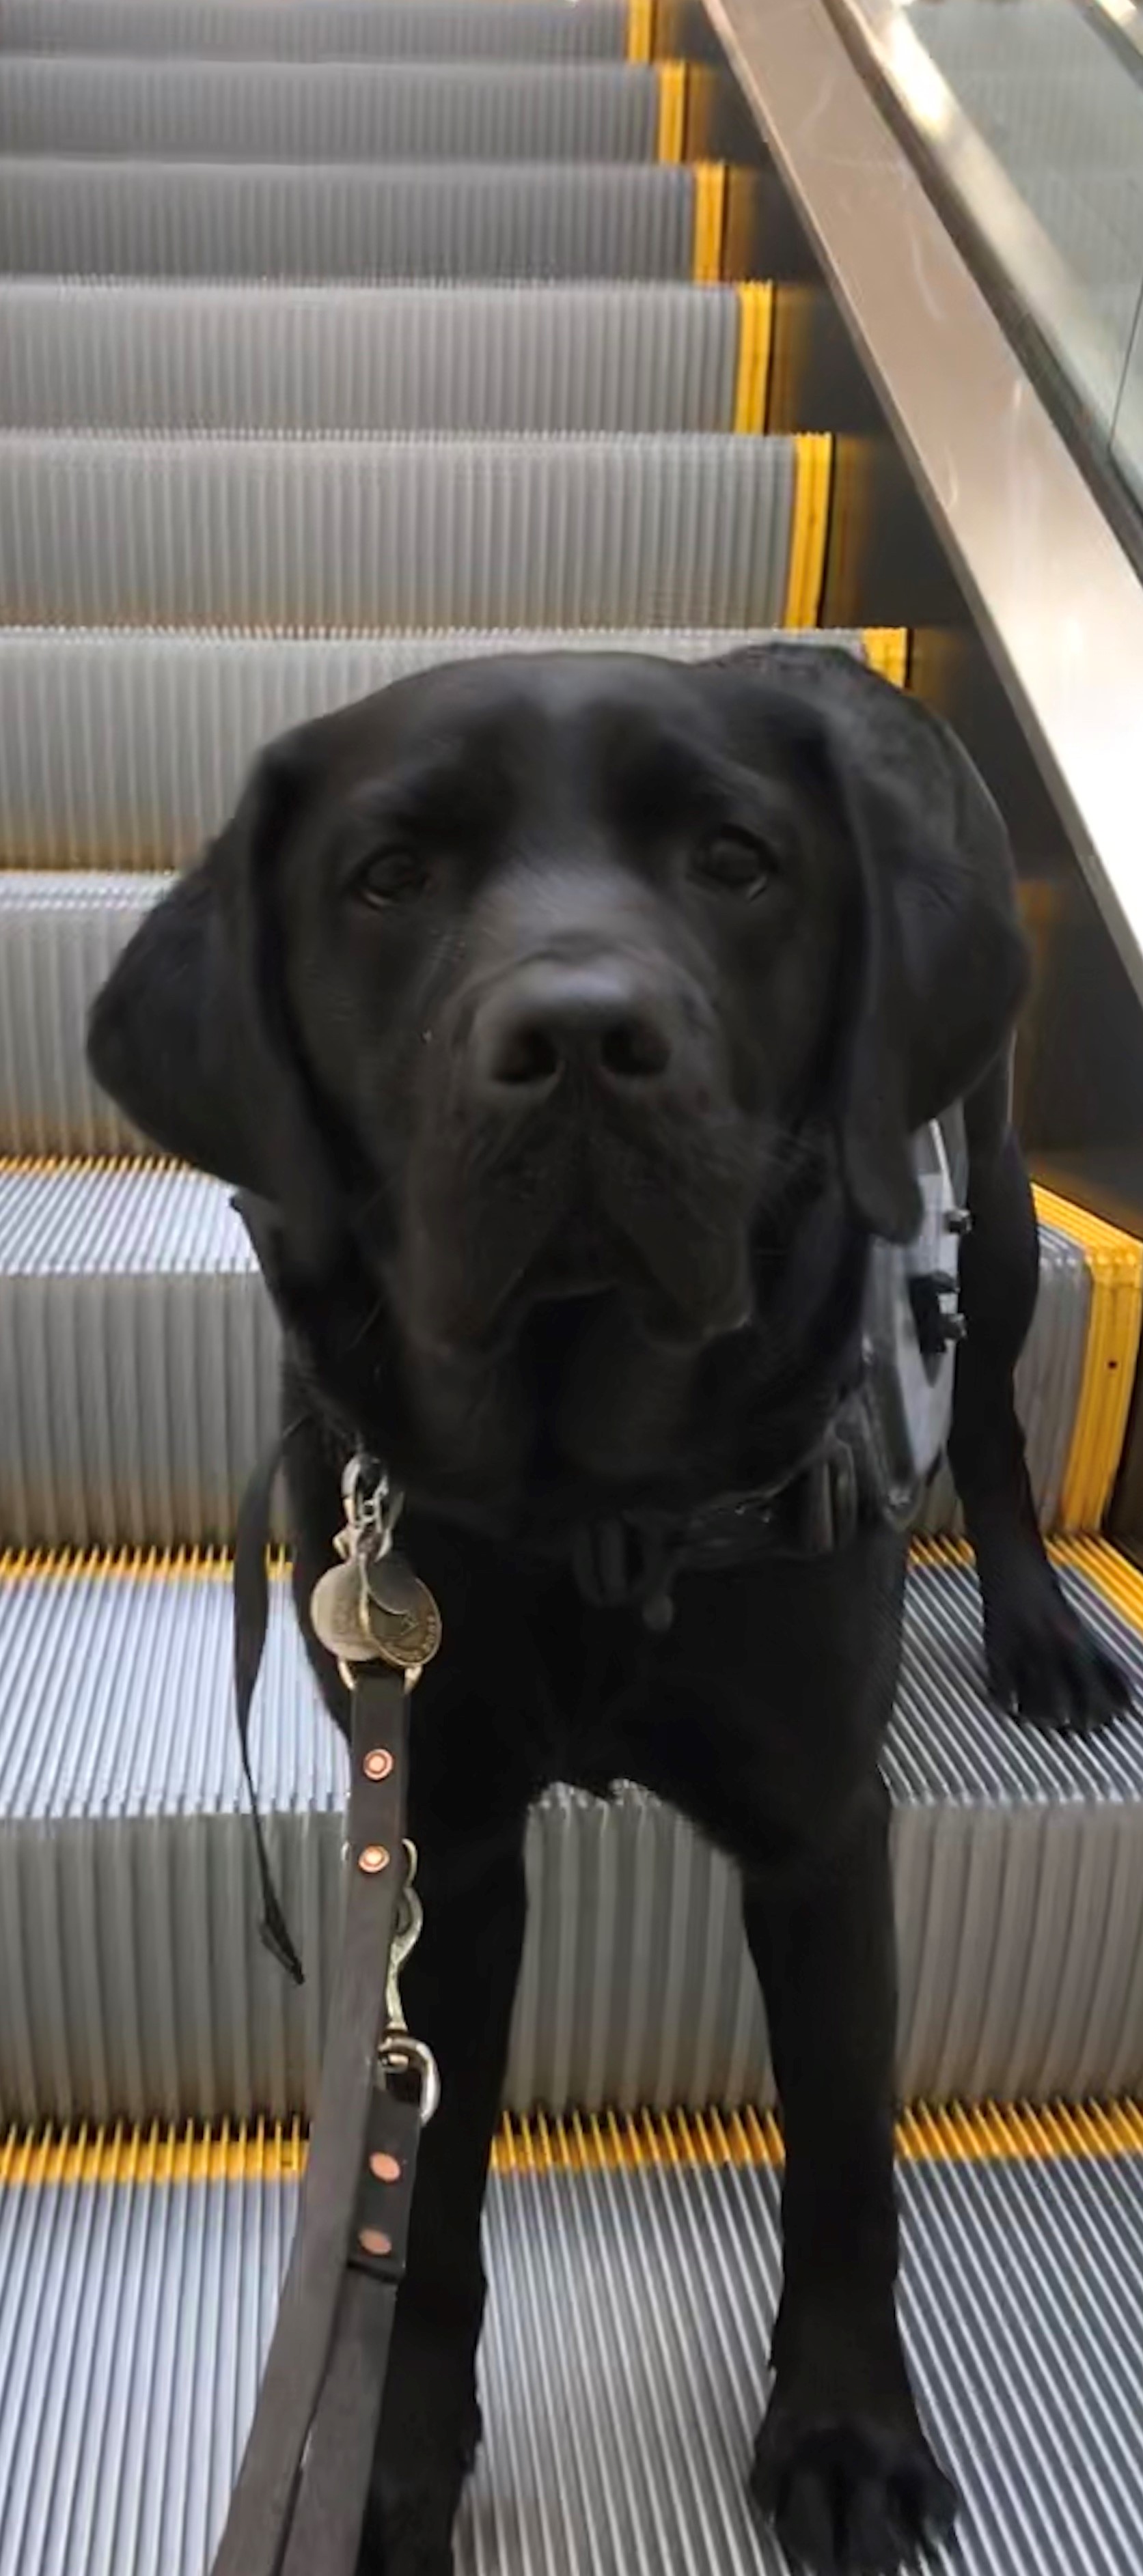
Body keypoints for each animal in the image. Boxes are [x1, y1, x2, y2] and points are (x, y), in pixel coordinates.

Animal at [87, 649, 1127, 2576]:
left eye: (735, 857)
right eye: (389, 876)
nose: (578, 1038)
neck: (586, 1505)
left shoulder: (820, 1830)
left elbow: (843, 2159)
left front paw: (847, 2429)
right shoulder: (444, 1828)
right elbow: (423, 2183)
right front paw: (395, 2455)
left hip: (1004, 1185)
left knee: (995, 1417)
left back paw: (1038, 1629)